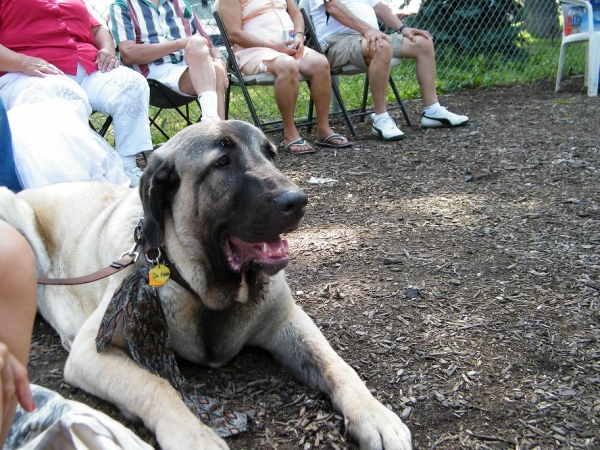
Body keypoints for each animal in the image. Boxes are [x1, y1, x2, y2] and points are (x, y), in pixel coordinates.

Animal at [0, 121, 410, 448]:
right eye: (222, 162)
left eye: (270, 154)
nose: (298, 200)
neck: (206, 289)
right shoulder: (92, 351)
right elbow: (157, 386)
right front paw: (194, 436)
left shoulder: (287, 322)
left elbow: (335, 363)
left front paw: (375, 415)